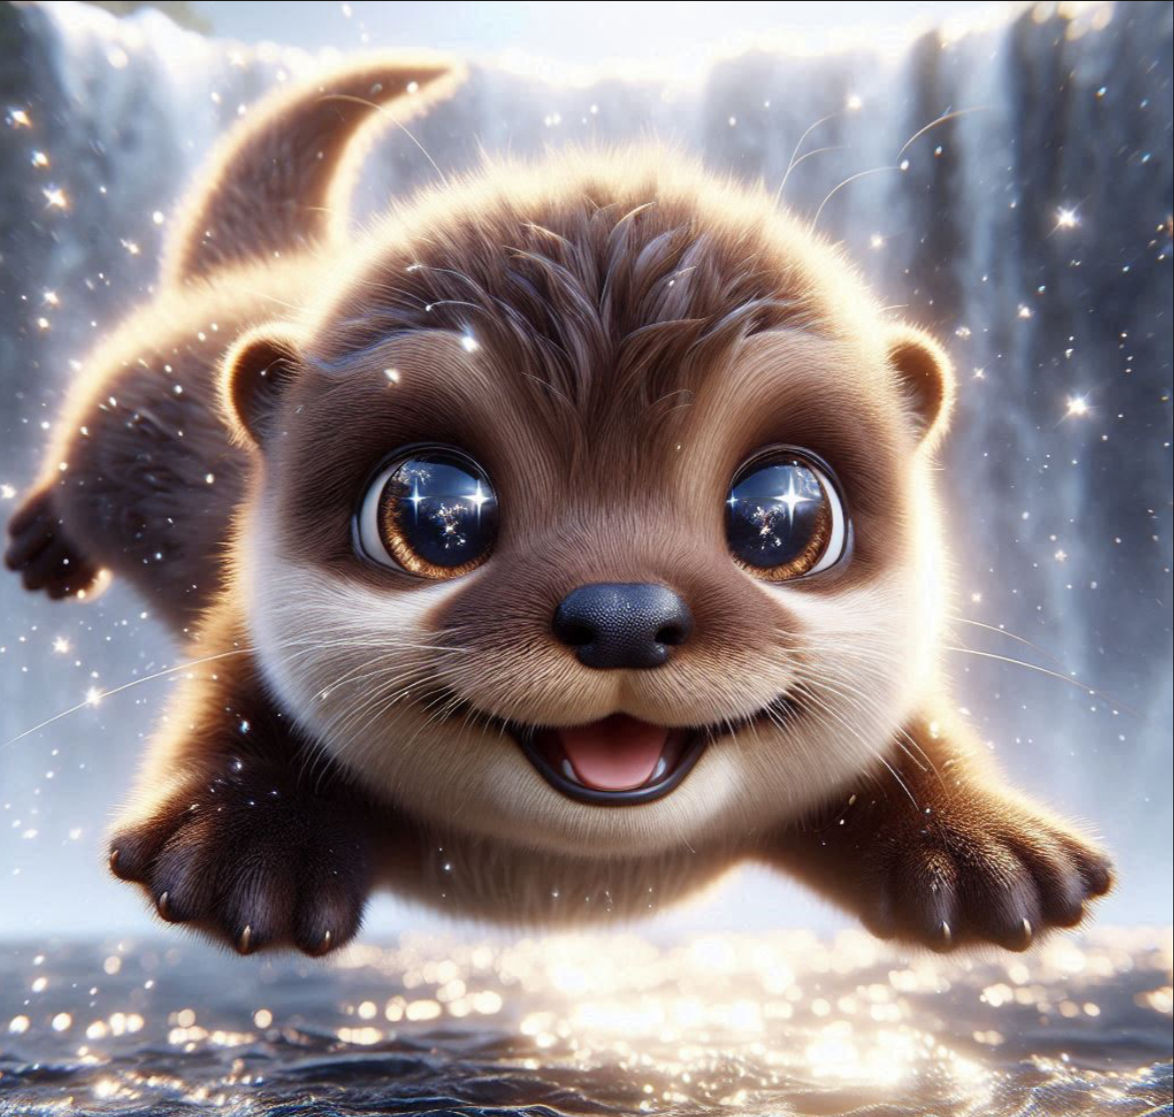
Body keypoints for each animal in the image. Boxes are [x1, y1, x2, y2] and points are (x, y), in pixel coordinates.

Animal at [6, 55, 1112, 956]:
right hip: (123, 419)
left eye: (785, 515)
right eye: (434, 511)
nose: (623, 614)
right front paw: (245, 844)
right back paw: (44, 541)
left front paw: (982, 850)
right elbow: (233, 711)